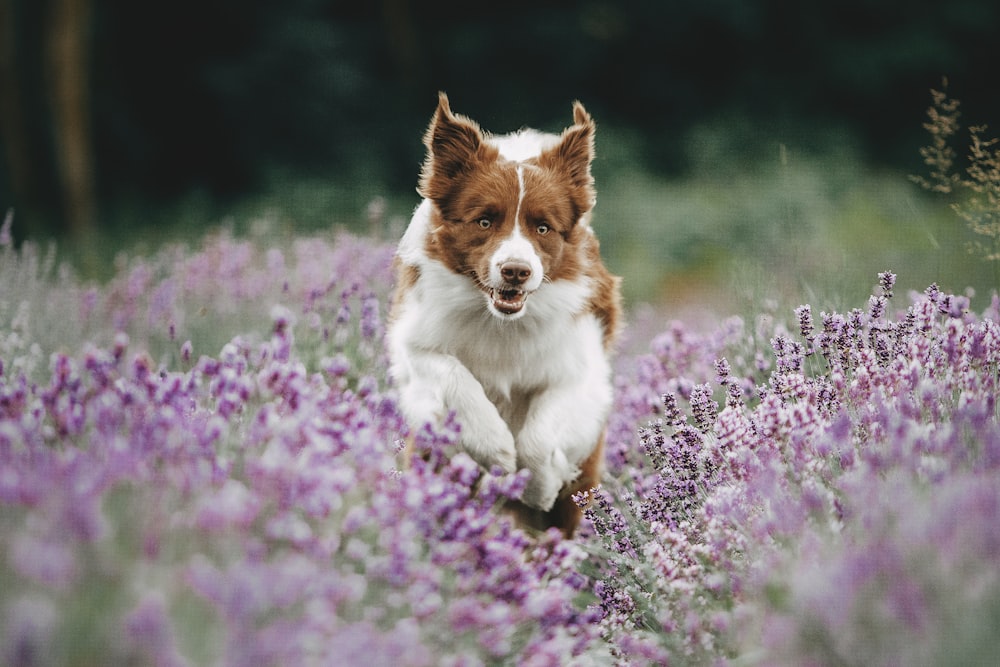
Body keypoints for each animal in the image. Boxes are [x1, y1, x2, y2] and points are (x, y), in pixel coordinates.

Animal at [386, 94, 620, 536]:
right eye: (484, 221)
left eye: (543, 228)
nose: (516, 271)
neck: (501, 322)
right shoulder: (416, 343)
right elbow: (454, 377)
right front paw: (495, 450)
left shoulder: (581, 367)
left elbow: (540, 437)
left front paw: (536, 484)